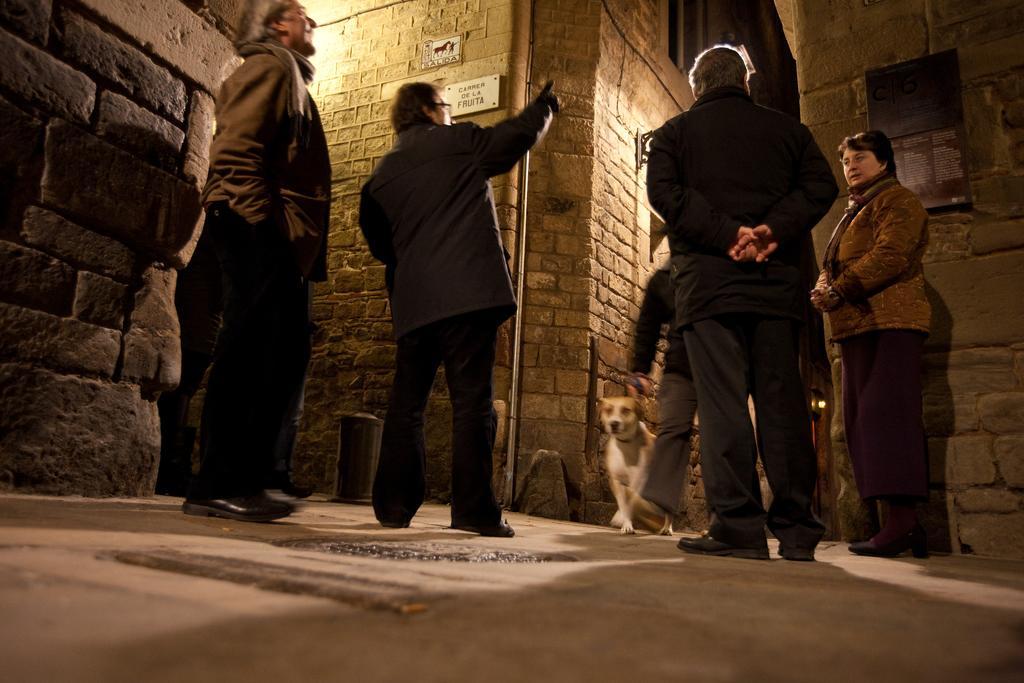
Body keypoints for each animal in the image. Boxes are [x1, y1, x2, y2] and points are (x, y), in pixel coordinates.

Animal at [598, 395, 663, 532]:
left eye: (626, 410)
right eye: (608, 410)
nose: (614, 423)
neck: (626, 443)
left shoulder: (637, 480)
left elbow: (631, 503)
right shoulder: (616, 481)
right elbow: (623, 504)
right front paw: (625, 522)